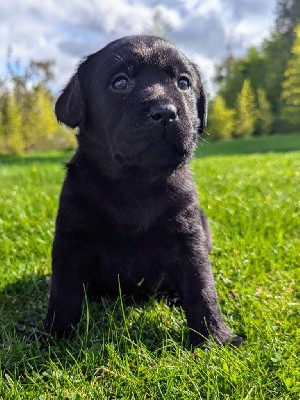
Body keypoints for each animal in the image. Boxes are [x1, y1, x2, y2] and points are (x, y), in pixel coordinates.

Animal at [45, 35, 244, 346]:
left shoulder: (188, 237)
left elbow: (202, 286)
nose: (165, 112)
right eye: (120, 82)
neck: (135, 183)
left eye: (183, 83)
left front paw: (215, 337)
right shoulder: (71, 237)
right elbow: (63, 290)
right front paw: (56, 335)